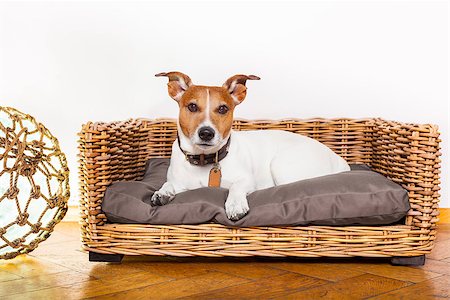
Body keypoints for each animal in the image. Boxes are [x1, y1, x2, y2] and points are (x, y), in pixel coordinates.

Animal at [151, 72, 352, 220]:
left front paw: (235, 204)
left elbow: (236, 186)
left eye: (223, 109)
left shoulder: (247, 180)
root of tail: (339, 160)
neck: (205, 158)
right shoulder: (179, 183)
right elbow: (168, 183)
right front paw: (162, 193)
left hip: (281, 165)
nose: (206, 133)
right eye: (192, 106)